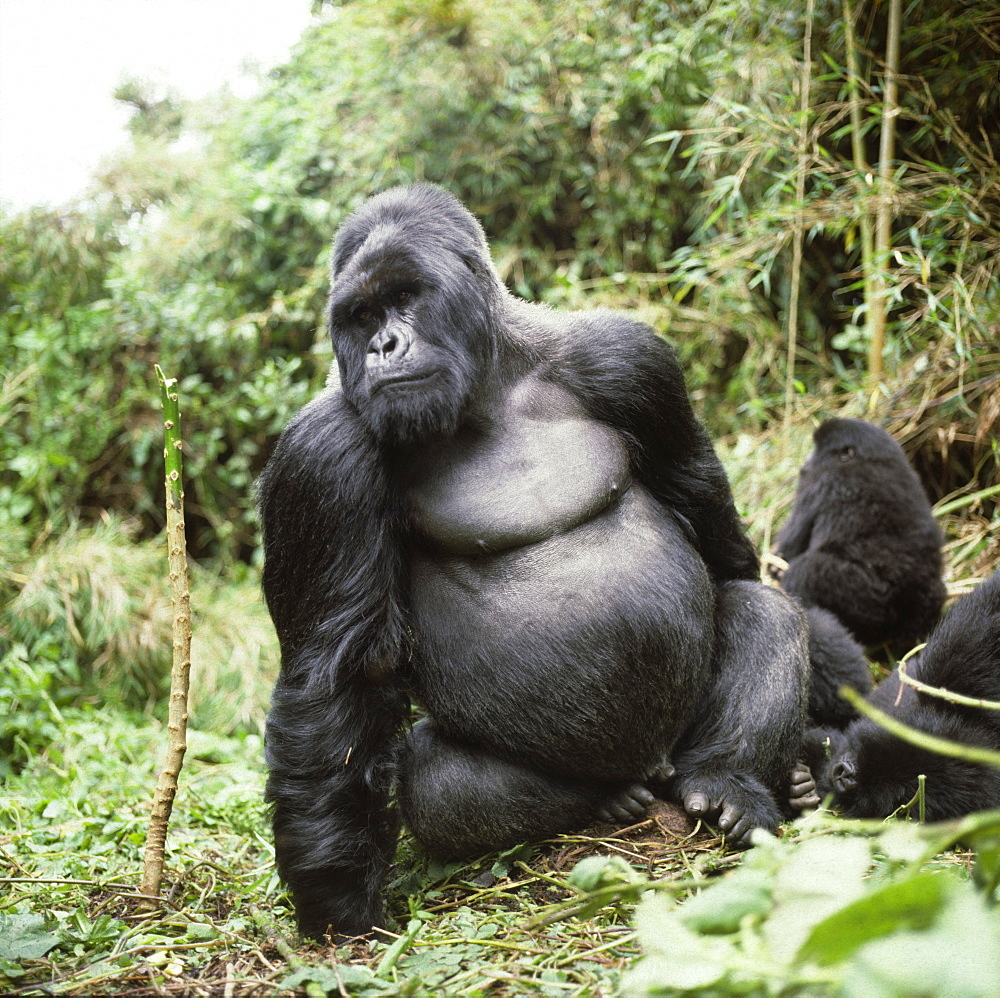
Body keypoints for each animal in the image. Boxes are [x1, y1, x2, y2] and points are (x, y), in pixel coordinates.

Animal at [260, 184, 812, 940]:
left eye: (404, 298)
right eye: (361, 315)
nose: (383, 345)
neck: (490, 386)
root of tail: (658, 765)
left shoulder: (628, 359)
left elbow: (712, 529)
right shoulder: (322, 453)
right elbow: (336, 673)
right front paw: (336, 897)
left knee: (760, 608)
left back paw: (728, 781)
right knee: (433, 777)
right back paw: (605, 800)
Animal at [772, 414, 944, 648]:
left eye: (817, 450)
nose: (806, 462)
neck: (869, 459)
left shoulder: (821, 481)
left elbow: (791, 544)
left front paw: (776, 566)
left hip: (871, 605)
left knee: (807, 572)